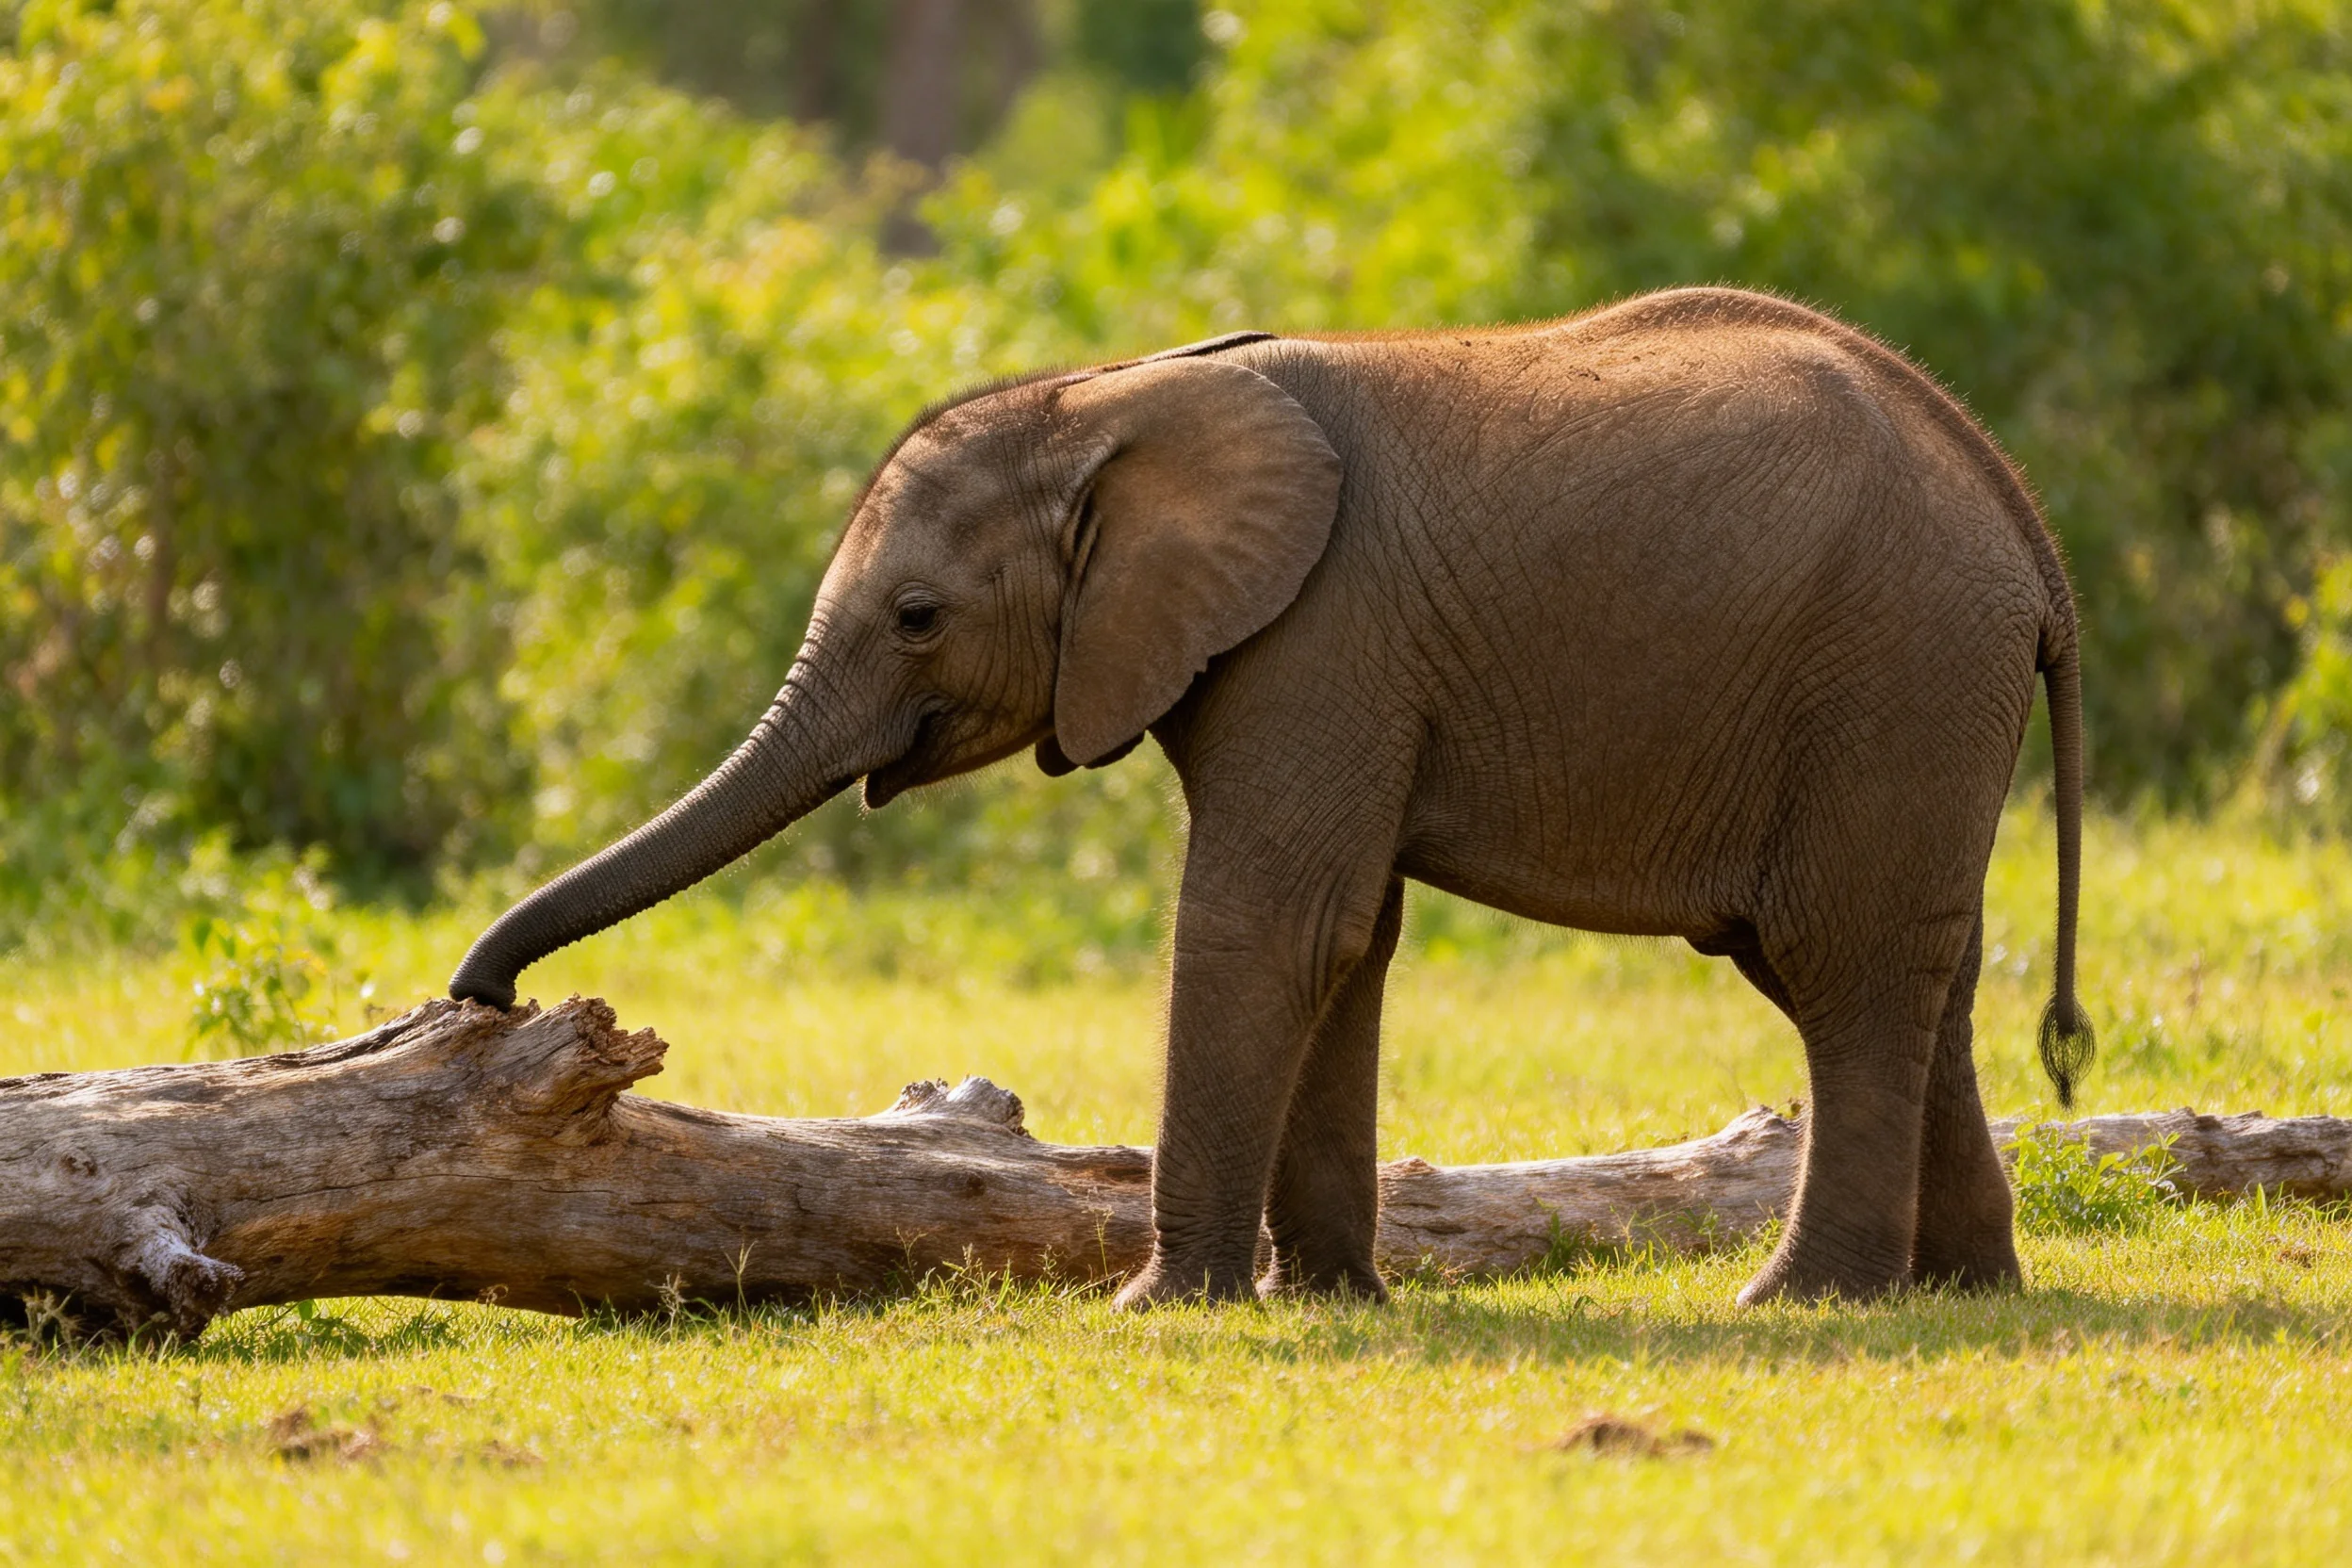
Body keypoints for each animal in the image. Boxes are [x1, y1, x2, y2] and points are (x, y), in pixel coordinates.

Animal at [450, 286, 2095, 1307]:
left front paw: (1156, 1309)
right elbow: (1349, 942)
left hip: (1892, 672)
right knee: (1915, 974)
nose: (488, 1000)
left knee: (1839, 967)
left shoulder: (1324, 635)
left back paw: (1795, 1300)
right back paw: (1966, 1291)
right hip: (1915, 704)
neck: (1117, 395)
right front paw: (1334, 1302)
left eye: (916, 619)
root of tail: (2023, 517)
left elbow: (1273, 928)